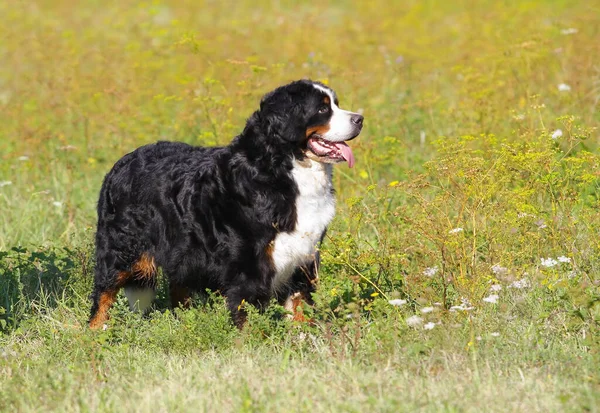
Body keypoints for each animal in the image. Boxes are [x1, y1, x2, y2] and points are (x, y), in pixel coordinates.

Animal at [87, 79, 364, 326]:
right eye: (322, 109)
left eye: (336, 104)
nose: (360, 119)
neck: (283, 169)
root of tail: (122, 162)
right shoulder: (248, 265)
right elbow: (247, 316)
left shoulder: (303, 258)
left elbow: (301, 309)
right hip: (121, 251)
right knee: (102, 296)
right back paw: (95, 335)